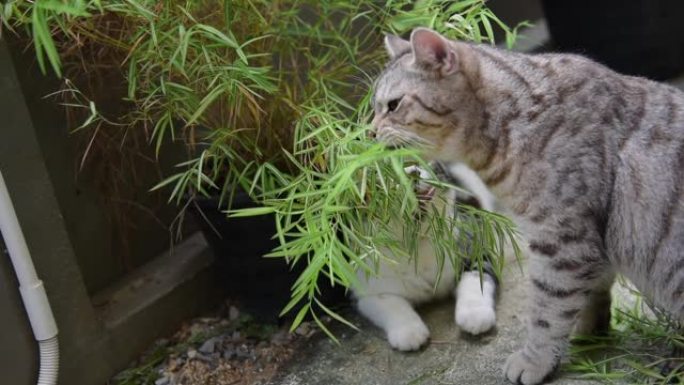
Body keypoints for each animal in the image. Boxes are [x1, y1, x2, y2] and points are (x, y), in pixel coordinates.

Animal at [352, 162, 496, 352]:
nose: (413, 173)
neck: (418, 242)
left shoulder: (476, 250)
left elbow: (475, 280)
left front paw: (475, 314)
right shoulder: (368, 288)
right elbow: (391, 304)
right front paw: (409, 332)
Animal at [372, 27, 684, 384]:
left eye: (393, 105)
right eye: (374, 108)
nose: (369, 133)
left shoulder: (564, 242)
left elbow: (548, 309)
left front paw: (536, 359)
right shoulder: (590, 242)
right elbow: (592, 291)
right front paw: (588, 330)